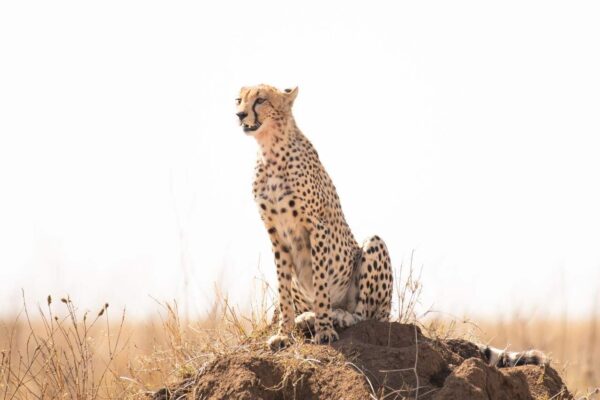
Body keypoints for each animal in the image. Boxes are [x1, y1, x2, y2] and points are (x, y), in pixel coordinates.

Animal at [237, 85, 396, 350]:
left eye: (260, 100)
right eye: (238, 100)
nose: (239, 114)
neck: (269, 148)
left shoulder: (316, 227)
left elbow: (321, 283)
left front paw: (324, 330)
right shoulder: (275, 234)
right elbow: (283, 289)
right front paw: (284, 333)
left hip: (374, 249)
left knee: (366, 315)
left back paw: (340, 315)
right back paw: (307, 317)